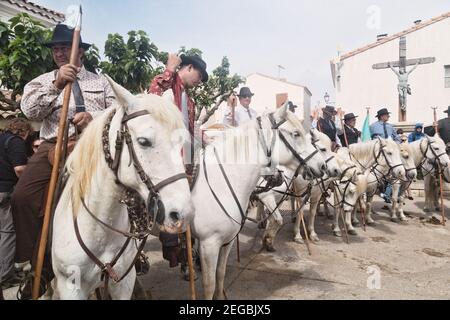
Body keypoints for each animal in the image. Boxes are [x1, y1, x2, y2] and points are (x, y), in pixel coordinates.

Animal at [51, 79, 192, 298]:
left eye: (181, 144)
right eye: (143, 141)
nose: (182, 214)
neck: (99, 228)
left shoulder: (124, 281)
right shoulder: (69, 286)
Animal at [191, 107, 326, 300]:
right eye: (296, 134)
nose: (323, 167)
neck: (221, 182)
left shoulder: (226, 241)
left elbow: (220, 273)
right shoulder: (209, 244)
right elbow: (209, 285)